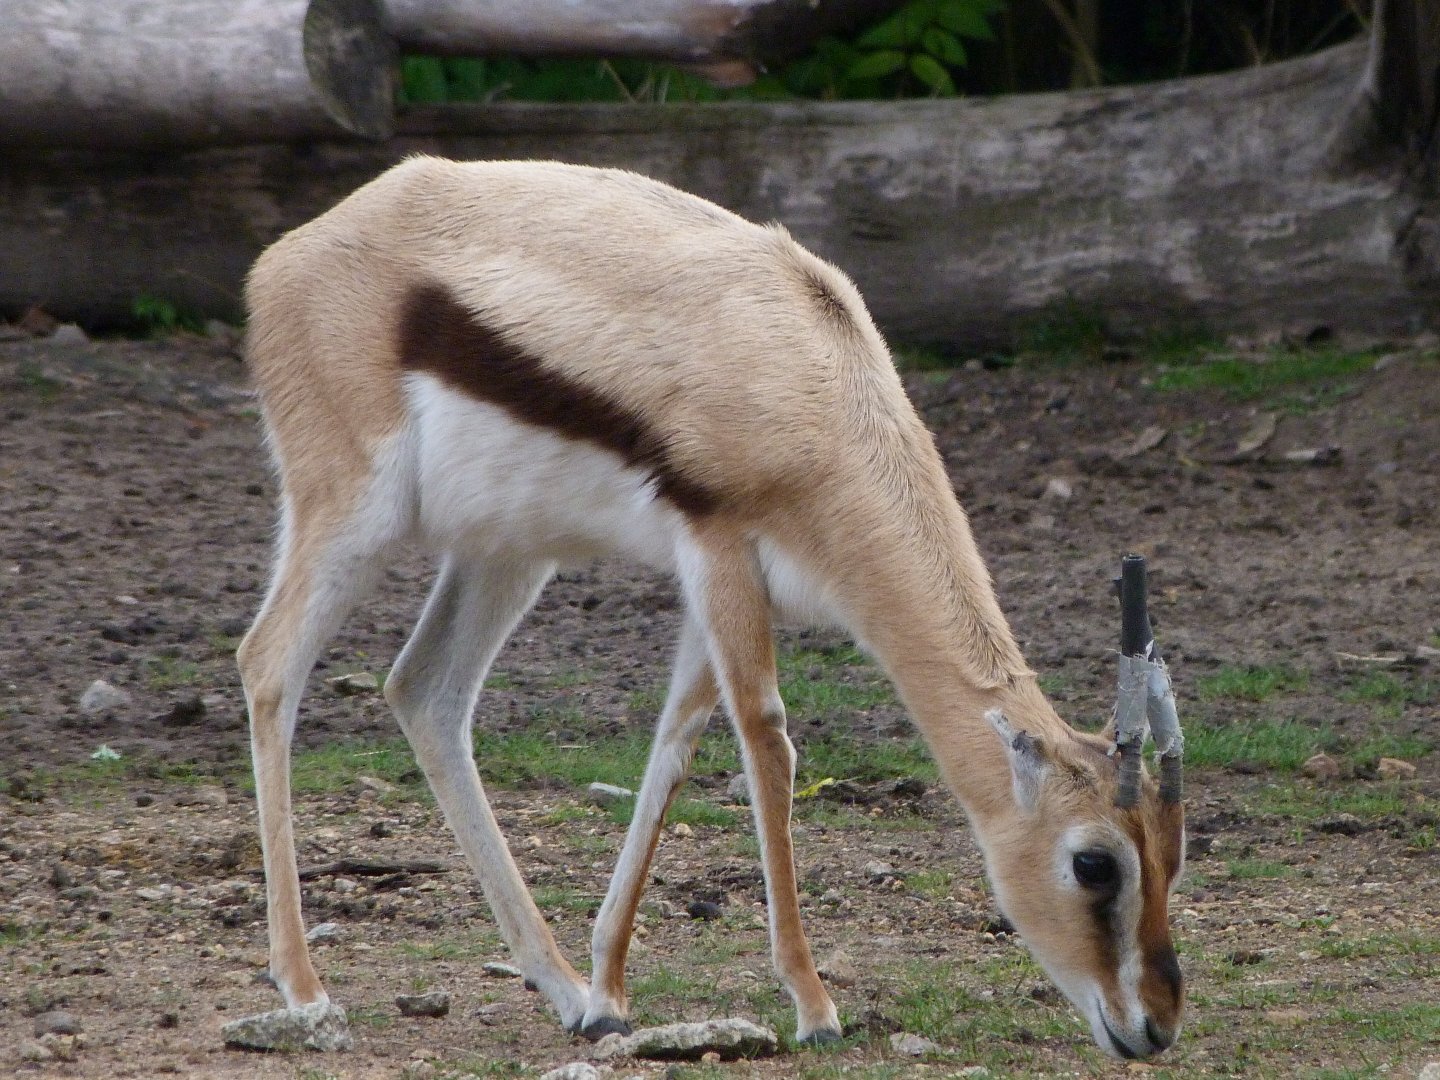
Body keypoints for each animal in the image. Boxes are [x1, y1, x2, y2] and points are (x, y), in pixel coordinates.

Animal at [237, 156, 1186, 1059]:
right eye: (1094, 864)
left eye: (1172, 854)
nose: (1155, 1025)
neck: (813, 373)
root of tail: (288, 255)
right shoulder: (720, 552)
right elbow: (768, 743)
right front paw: (814, 1007)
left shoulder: (718, 586)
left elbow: (677, 742)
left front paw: (607, 998)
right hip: (353, 512)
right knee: (268, 662)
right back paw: (303, 989)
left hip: (506, 551)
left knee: (425, 692)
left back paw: (557, 986)